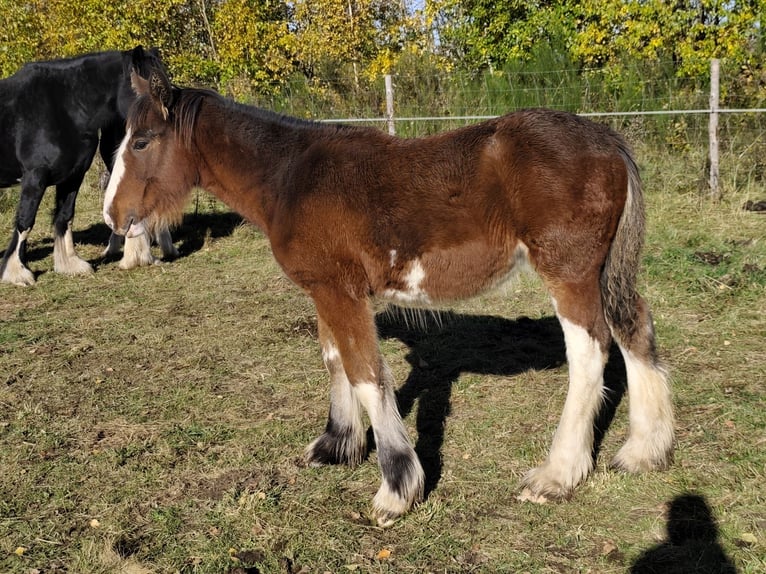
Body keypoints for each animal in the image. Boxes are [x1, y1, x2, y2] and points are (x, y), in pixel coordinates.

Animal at [0, 46, 177, 286]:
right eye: (151, 86)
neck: (63, 108)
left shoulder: (72, 177)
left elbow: (65, 217)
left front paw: (70, 265)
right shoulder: (34, 178)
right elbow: (25, 221)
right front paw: (18, 273)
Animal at [103, 62, 675, 526]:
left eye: (142, 141)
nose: (113, 216)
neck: (291, 178)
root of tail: (605, 137)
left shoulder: (341, 292)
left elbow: (365, 373)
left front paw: (396, 489)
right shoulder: (325, 291)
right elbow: (335, 360)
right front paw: (337, 445)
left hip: (568, 273)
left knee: (591, 352)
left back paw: (557, 475)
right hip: (603, 273)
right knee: (635, 329)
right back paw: (643, 452)